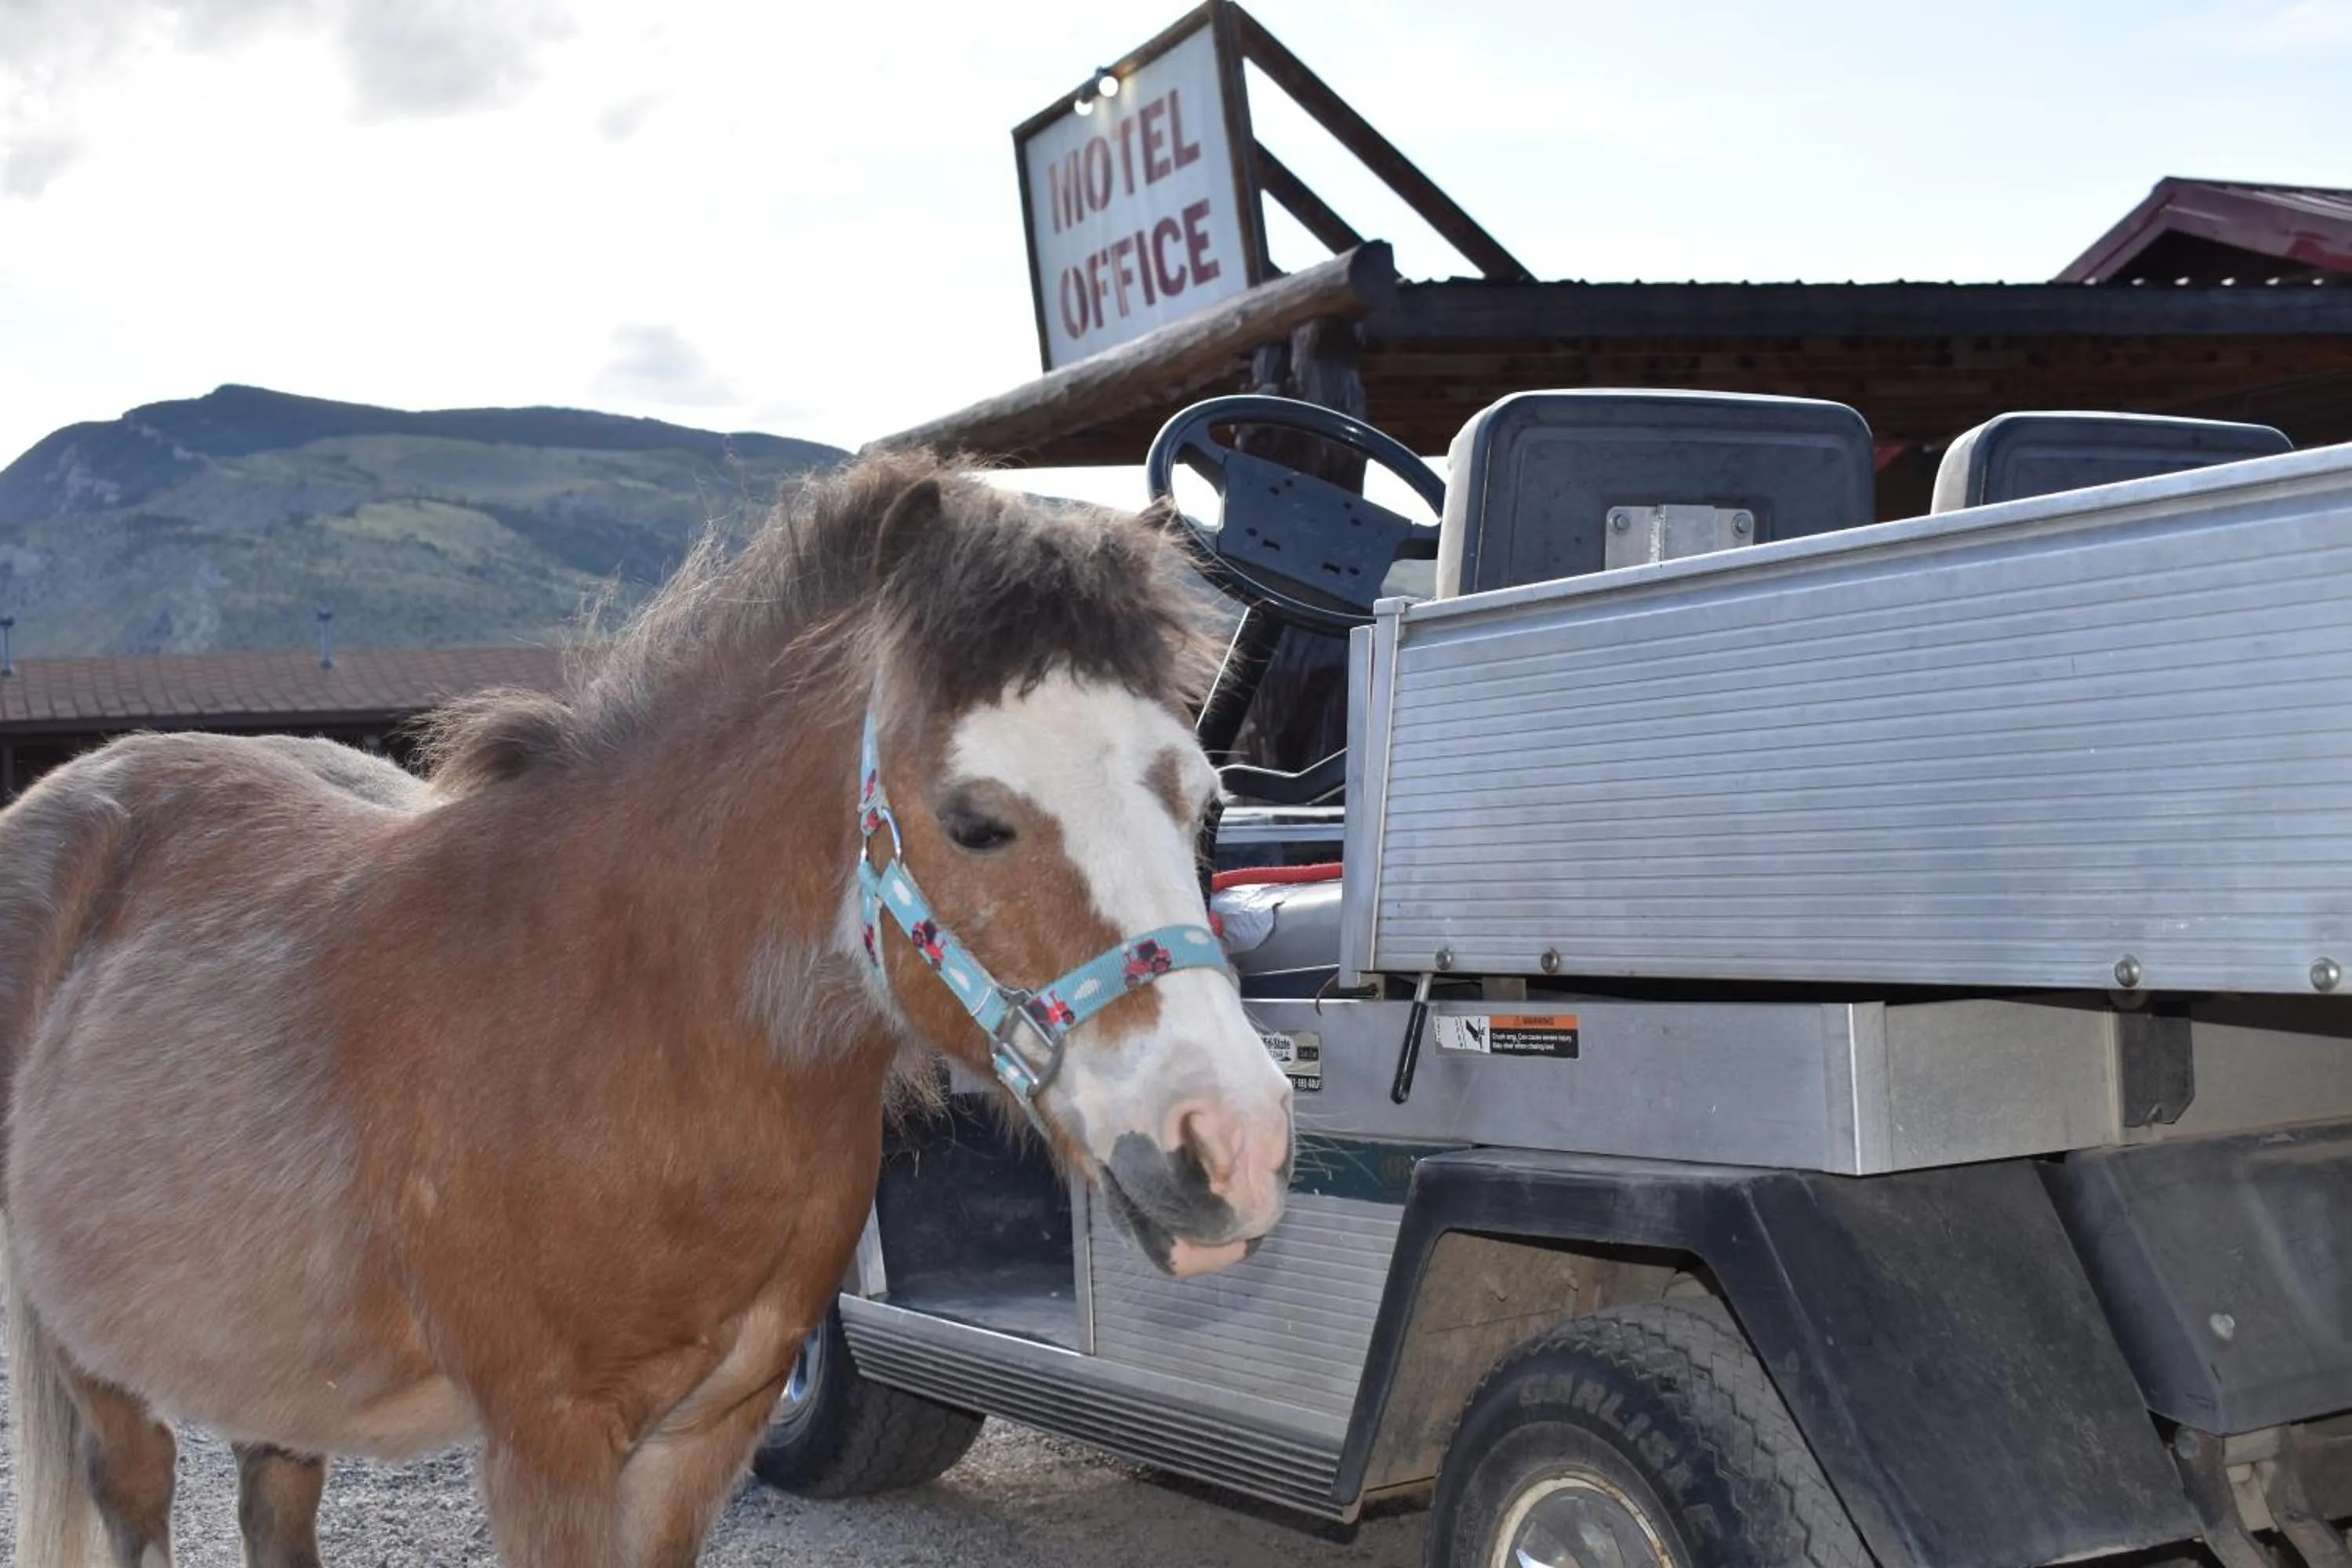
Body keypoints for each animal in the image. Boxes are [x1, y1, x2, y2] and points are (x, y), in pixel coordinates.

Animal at [0, 451, 1297, 1567]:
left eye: (1205, 799)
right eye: (976, 820)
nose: (1232, 1141)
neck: (635, 1029)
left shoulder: (704, 1437)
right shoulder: (549, 1445)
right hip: (103, 1366)